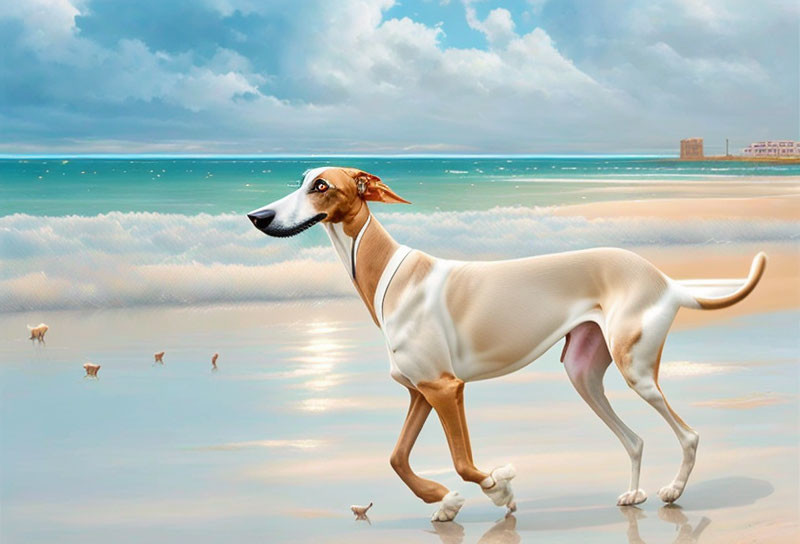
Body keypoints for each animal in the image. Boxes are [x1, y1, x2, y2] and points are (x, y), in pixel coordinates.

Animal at [247, 167, 764, 524]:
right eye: (300, 180)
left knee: (688, 434)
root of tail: (666, 281)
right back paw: (634, 494)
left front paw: (498, 489)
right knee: (634, 438)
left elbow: (463, 461)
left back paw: (673, 491)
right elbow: (396, 459)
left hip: (634, 366)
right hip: (583, 373)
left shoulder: (446, 388)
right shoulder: (420, 391)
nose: (257, 216)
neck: (390, 271)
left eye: (321, 186)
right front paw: (447, 502)